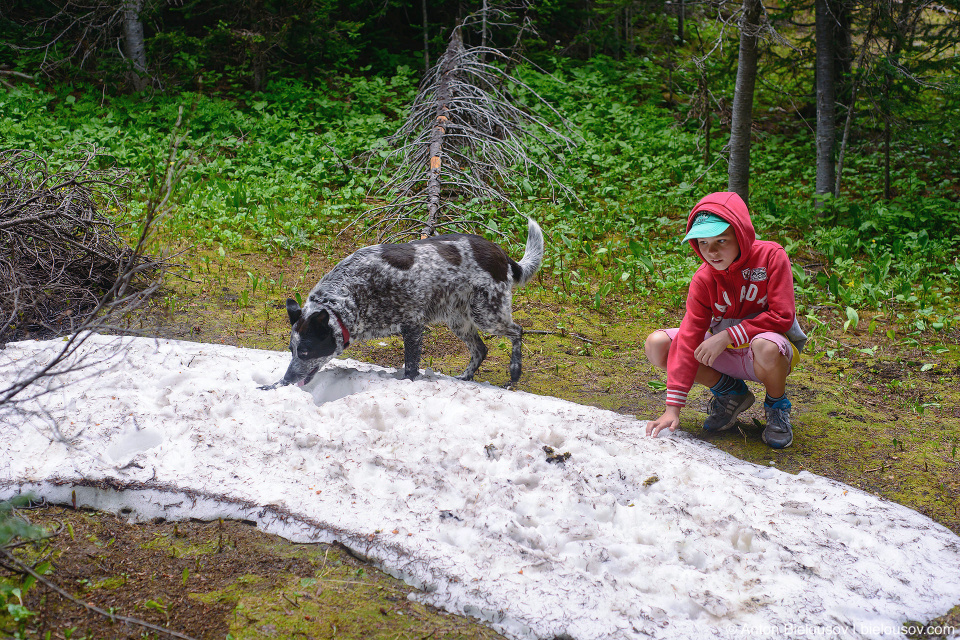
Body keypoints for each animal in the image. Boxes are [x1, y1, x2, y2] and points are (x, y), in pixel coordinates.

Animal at [266, 220, 544, 388]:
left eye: (305, 351)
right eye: (291, 350)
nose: (288, 378)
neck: (352, 291)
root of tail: (502, 253)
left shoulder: (412, 325)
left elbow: (410, 367)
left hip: (487, 314)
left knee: (517, 331)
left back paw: (514, 372)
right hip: (459, 321)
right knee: (481, 349)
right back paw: (466, 377)